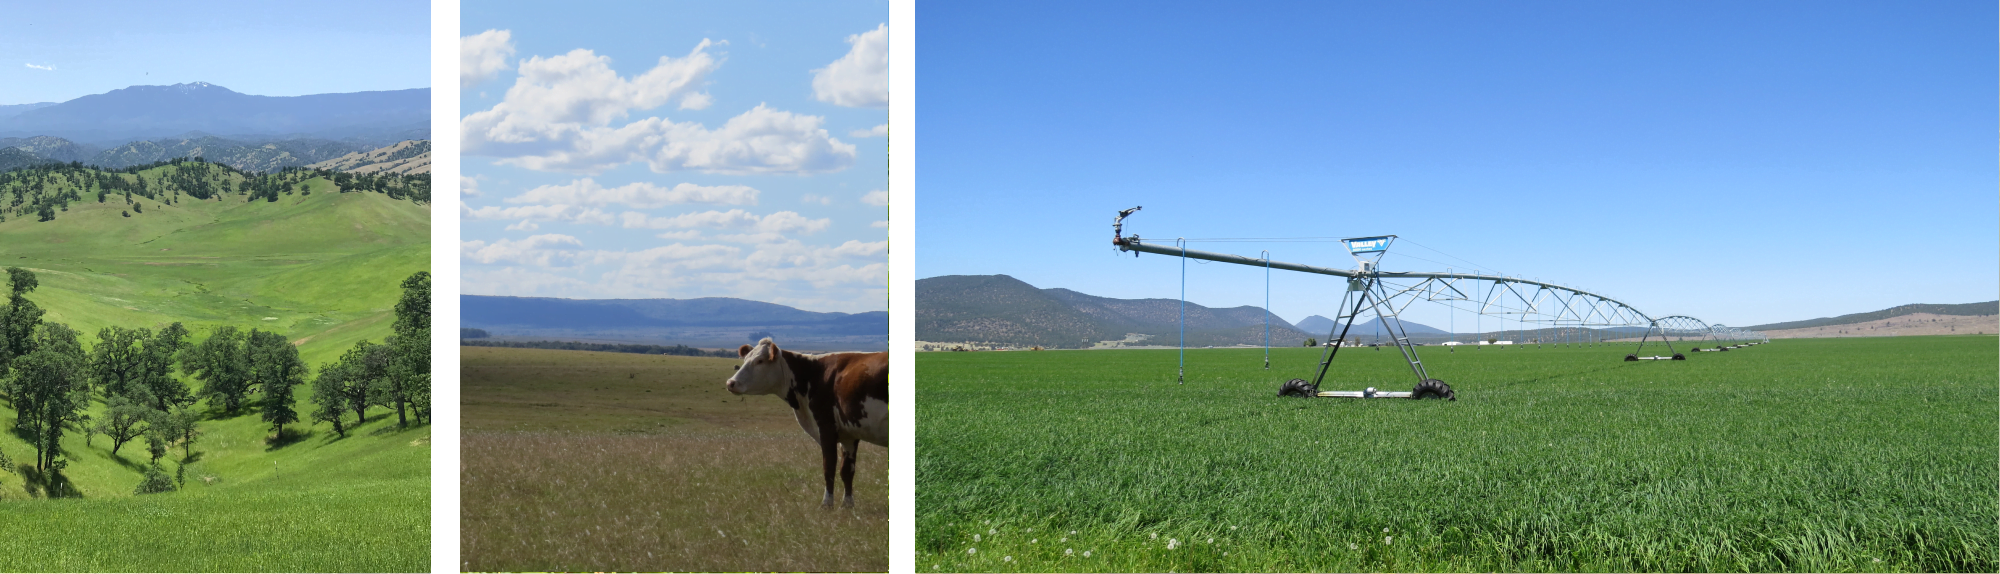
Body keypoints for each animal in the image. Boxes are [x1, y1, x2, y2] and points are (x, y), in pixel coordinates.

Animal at [724, 338, 888, 508]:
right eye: (745, 359)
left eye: (760, 361)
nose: (731, 383)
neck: (812, 374)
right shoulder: (849, 434)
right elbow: (847, 471)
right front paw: (847, 505)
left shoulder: (826, 427)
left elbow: (829, 468)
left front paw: (826, 504)